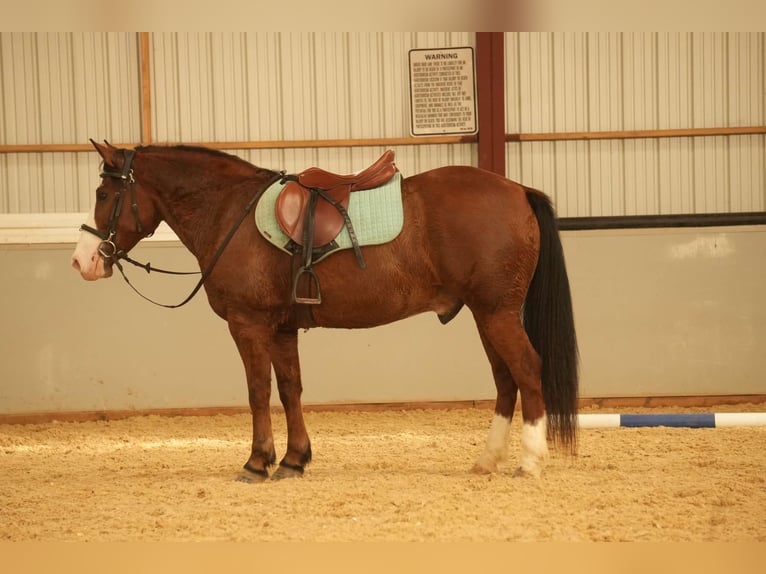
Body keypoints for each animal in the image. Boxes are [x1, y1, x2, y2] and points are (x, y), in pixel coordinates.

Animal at [72, 142, 580, 484]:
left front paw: (257, 462)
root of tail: (517, 189)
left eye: (103, 194)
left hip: (497, 313)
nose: (83, 260)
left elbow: (258, 392)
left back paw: (530, 462)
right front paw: (294, 460)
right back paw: (486, 460)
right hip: (485, 315)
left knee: (527, 370)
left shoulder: (248, 324)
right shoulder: (281, 329)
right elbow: (290, 389)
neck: (230, 212)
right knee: (505, 380)